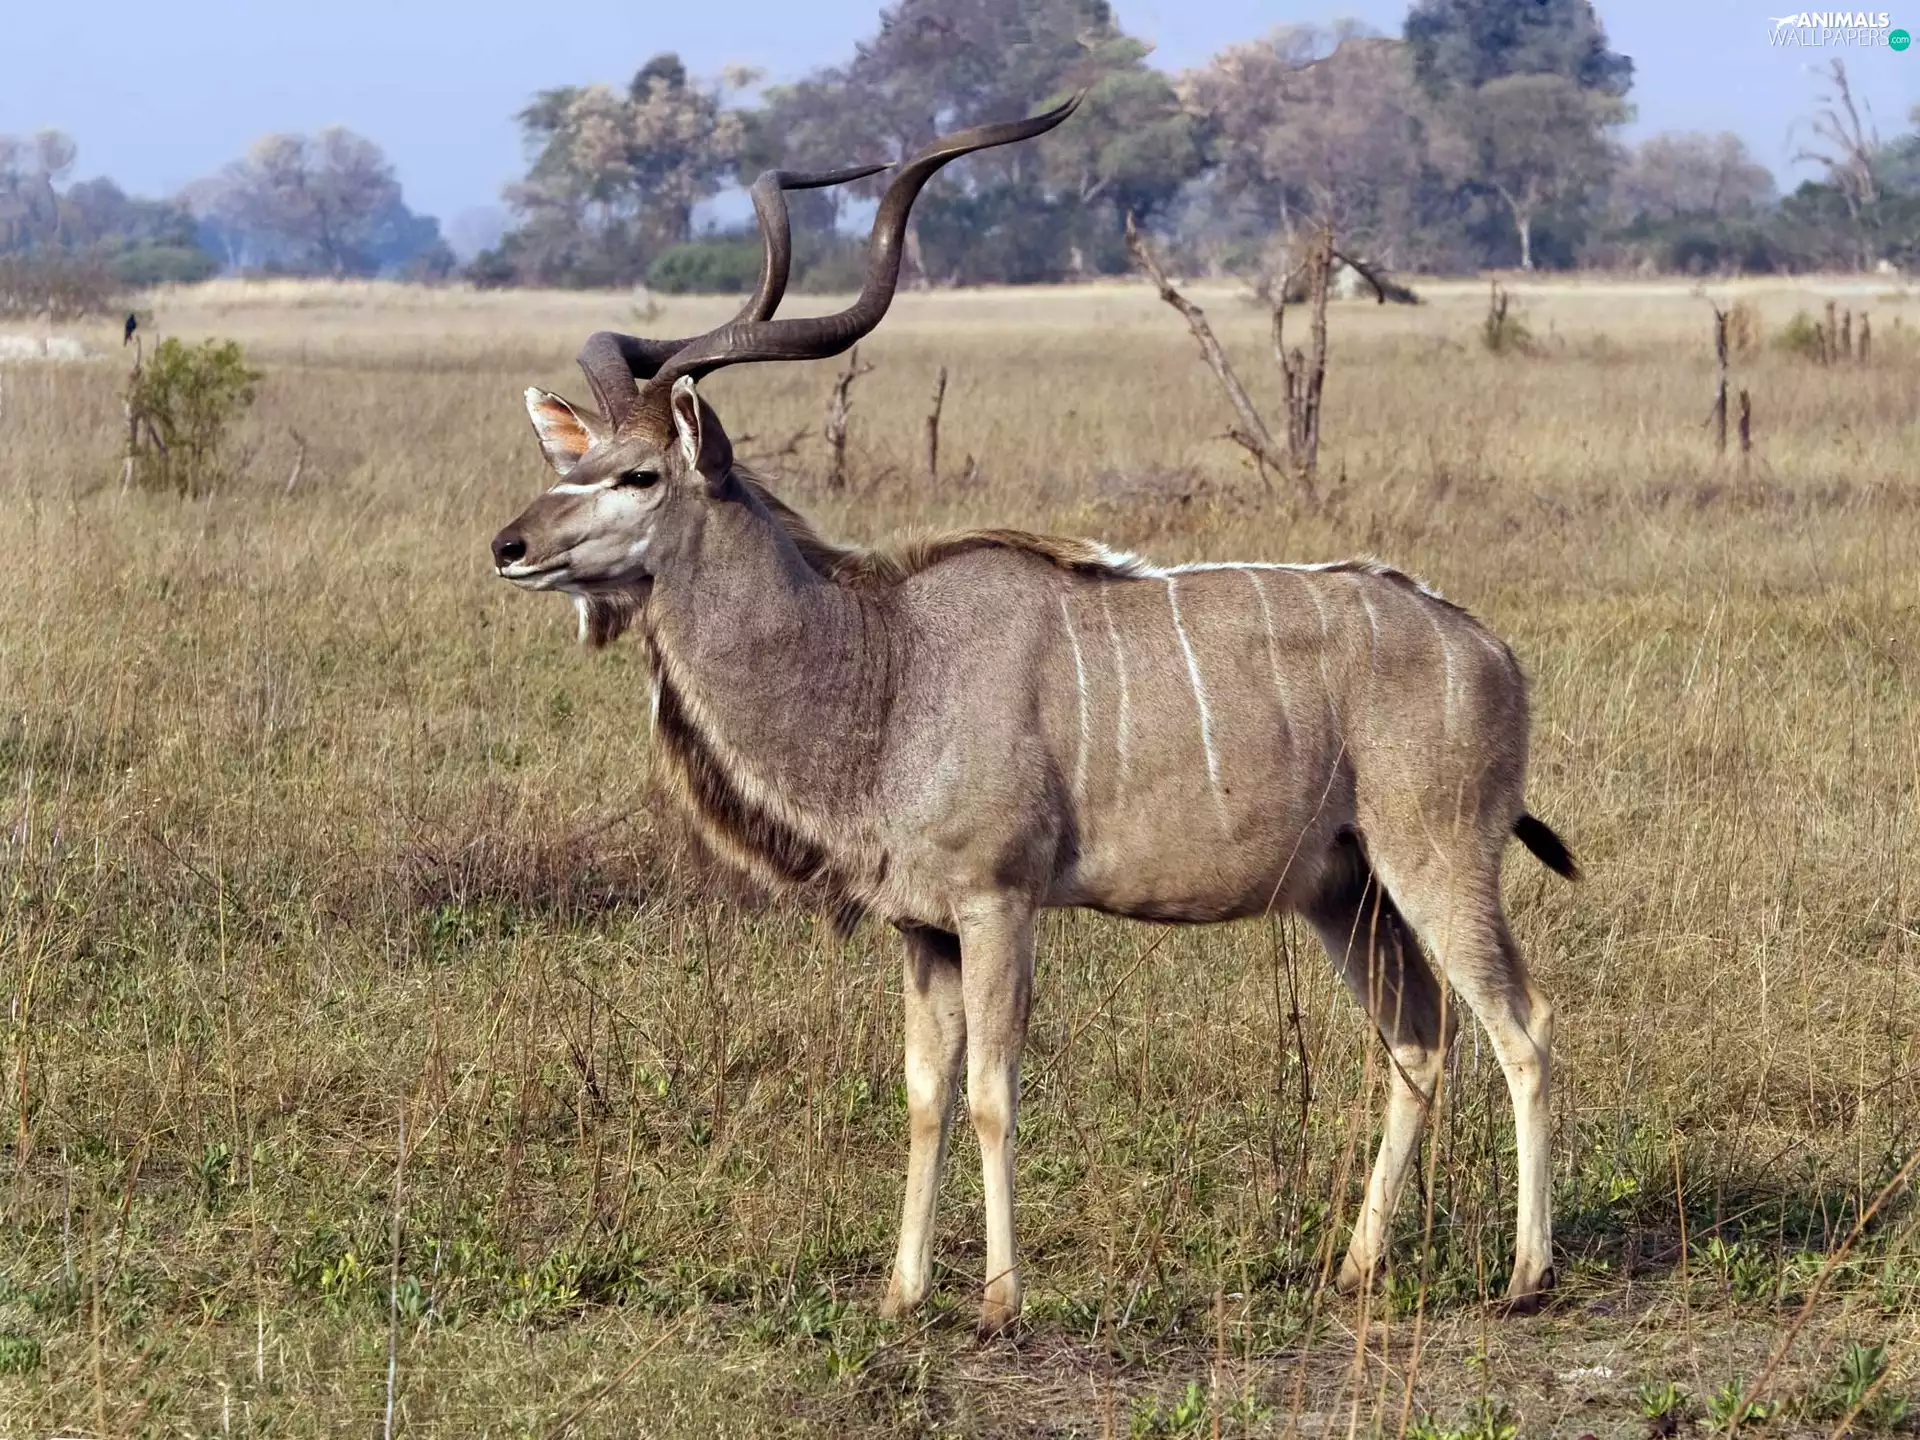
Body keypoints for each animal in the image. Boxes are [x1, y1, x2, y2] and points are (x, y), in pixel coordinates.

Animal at [489, 99, 1579, 1335]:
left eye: (638, 476)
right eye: (575, 461)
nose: (510, 545)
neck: (887, 664)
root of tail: (1486, 648)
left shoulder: (998, 902)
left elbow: (991, 1091)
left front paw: (1001, 1300)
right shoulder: (921, 929)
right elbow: (923, 1094)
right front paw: (902, 1292)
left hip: (1437, 857)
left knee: (1522, 1025)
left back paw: (1528, 1275)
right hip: (1343, 891)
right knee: (1417, 1038)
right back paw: (1354, 1268)